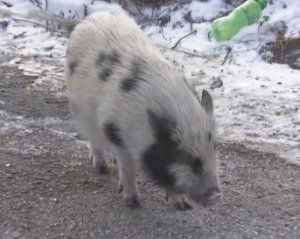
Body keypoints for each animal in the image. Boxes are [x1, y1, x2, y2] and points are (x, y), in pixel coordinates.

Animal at [65, 10, 223, 209]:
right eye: (189, 160)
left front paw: (181, 205)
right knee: (93, 138)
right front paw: (133, 202)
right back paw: (102, 168)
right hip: (79, 107)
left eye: (214, 150)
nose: (217, 196)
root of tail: (92, 17)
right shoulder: (115, 133)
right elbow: (128, 169)